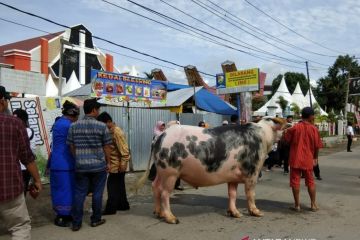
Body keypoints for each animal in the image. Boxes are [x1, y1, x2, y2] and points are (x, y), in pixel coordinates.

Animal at [136, 117, 286, 224]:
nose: (289, 124)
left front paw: (236, 214)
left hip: (161, 171)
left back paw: (158, 213)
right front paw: (257, 213)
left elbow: (232, 194)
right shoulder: (252, 172)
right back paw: (172, 219)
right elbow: (250, 194)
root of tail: (160, 136)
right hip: (170, 172)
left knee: (155, 186)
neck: (264, 136)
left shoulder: (233, 176)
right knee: (164, 193)